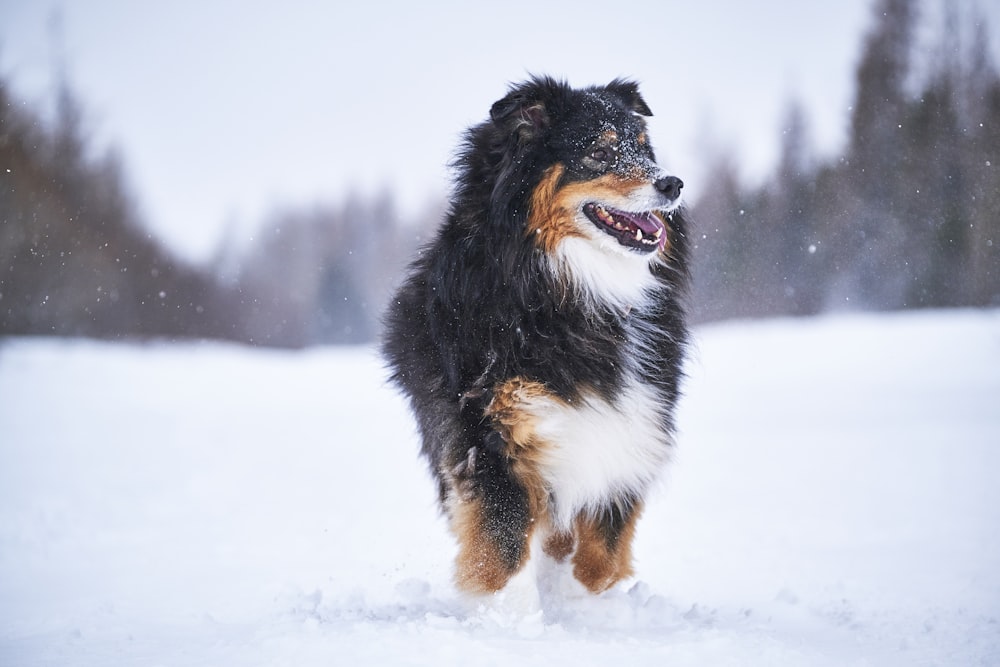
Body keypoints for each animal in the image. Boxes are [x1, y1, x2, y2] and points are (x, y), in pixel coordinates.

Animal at [380, 77, 688, 596]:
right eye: (599, 153)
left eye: (646, 150)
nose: (673, 183)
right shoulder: (488, 436)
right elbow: (501, 552)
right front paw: (502, 610)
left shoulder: (628, 430)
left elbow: (600, 559)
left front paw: (583, 602)